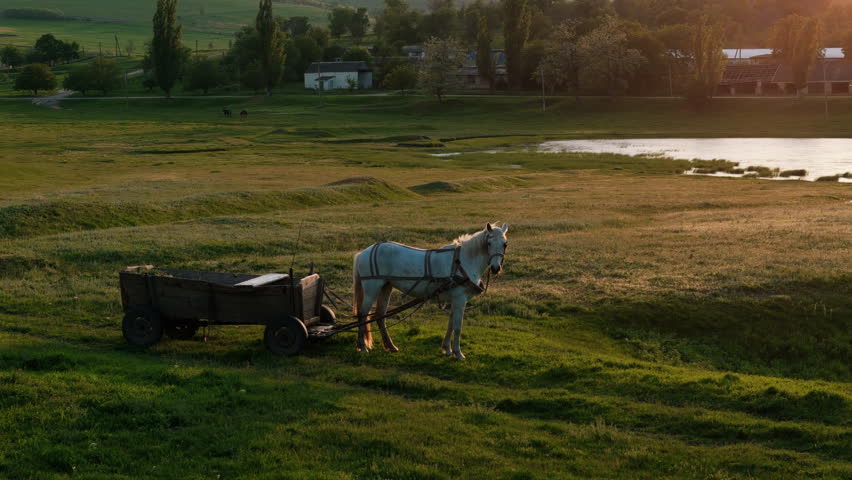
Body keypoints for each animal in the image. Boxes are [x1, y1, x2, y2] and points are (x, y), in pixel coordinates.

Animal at [352, 223, 509, 359]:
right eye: (489, 243)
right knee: (362, 314)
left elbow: (451, 324)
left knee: (380, 316)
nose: (496, 268)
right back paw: (362, 347)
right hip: (372, 288)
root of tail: (363, 253)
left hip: (386, 287)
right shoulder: (460, 299)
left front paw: (447, 349)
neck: (463, 261)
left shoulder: (454, 300)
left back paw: (390, 346)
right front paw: (458, 353)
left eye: (505, 244)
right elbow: (457, 326)